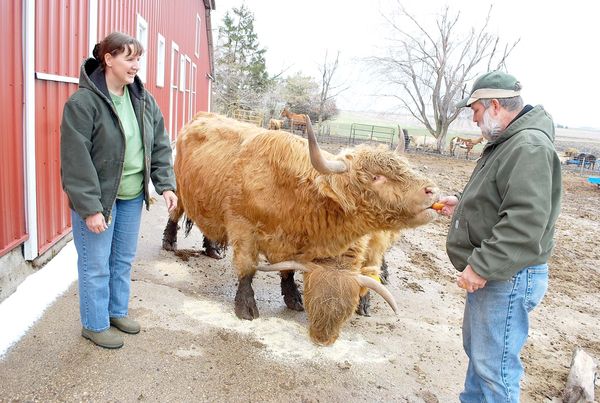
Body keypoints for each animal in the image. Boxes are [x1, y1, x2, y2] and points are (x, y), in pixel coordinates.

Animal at [162, 112, 438, 346]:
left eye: (404, 167)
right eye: (376, 177)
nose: (432, 190)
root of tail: (200, 117)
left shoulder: (292, 246)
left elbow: (288, 271)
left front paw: (293, 298)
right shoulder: (243, 228)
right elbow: (247, 268)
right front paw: (246, 307)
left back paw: (212, 249)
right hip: (179, 189)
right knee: (174, 213)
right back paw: (169, 242)